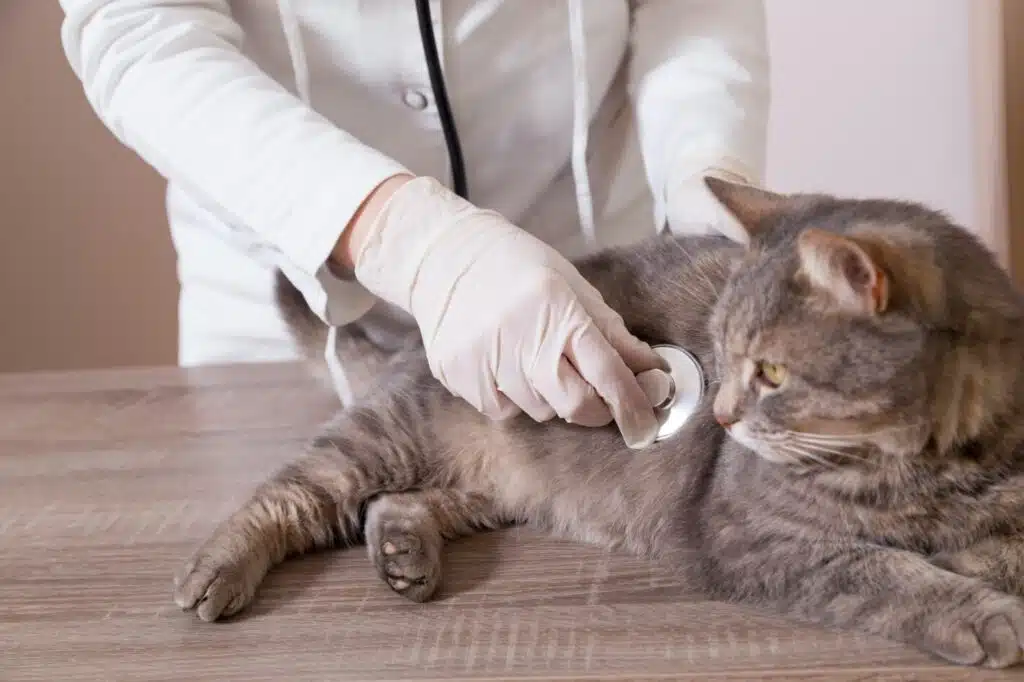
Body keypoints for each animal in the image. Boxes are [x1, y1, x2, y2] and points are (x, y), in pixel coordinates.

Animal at [172, 178, 1024, 667]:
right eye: (722, 354)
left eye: (772, 374)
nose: (719, 412)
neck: (928, 471)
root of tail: (420, 336)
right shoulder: (751, 535)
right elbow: (885, 573)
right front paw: (982, 616)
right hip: (384, 438)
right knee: (290, 494)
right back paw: (215, 572)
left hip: (493, 488)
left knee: (400, 502)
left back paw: (405, 554)